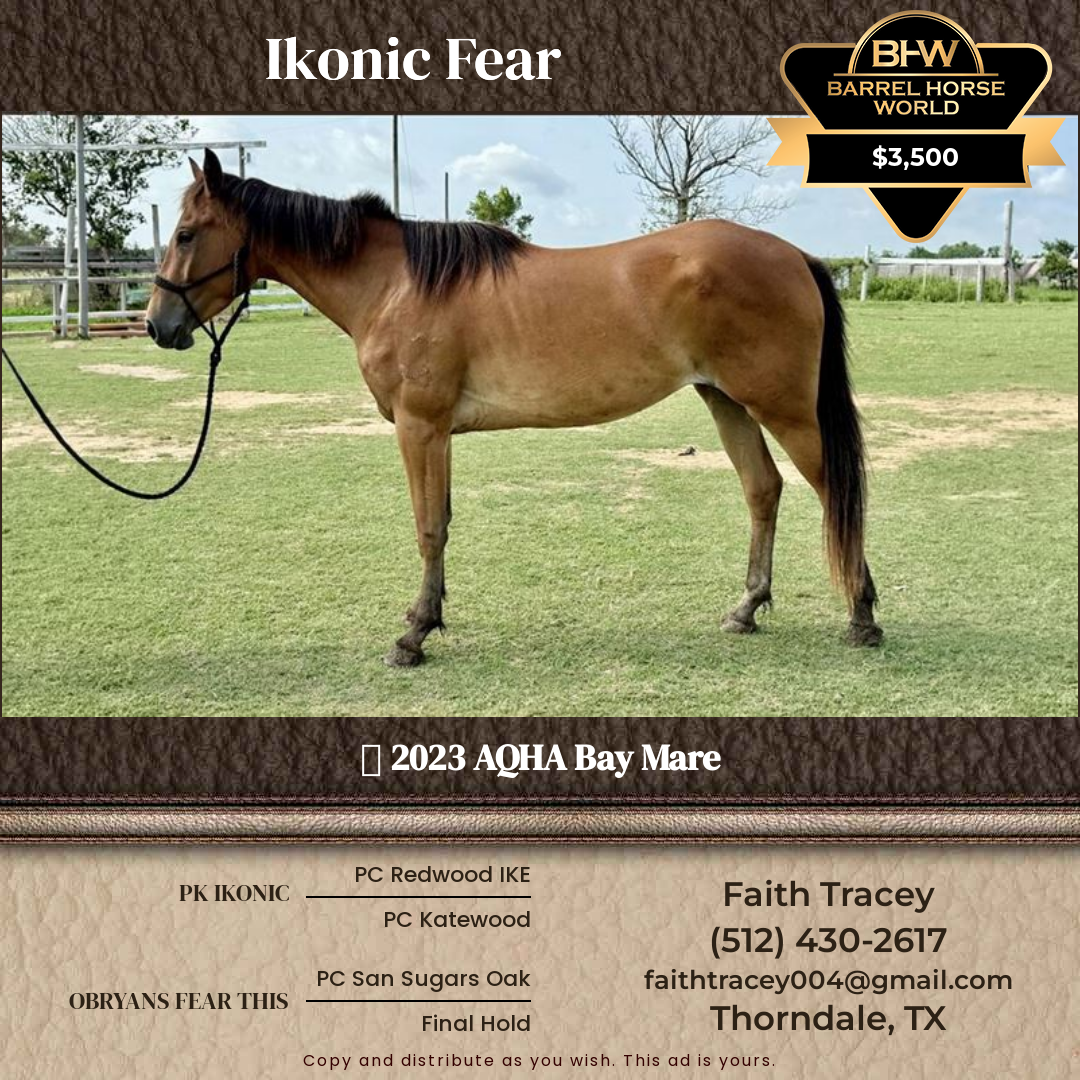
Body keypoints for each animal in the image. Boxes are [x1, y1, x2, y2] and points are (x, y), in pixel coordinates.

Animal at [147, 149, 882, 666]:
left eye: (186, 234)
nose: (158, 324)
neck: (394, 284)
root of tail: (797, 256)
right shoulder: (437, 433)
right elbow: (441, 522)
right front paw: (427, 618)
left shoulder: (420, 427)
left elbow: (428, 527)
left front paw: (413, 636)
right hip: (726, 401)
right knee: (763, 490)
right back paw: (746, 609)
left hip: (785, 410)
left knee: (834, 494)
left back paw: (862, 617)